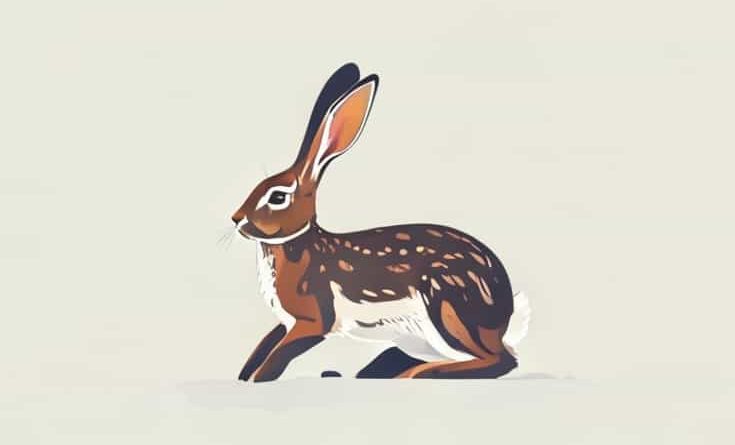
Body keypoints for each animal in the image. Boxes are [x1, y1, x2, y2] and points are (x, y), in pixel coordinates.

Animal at [231, 63, 530, 382]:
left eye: (277, 197)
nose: (236, 218)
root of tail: (506, 315)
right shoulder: (287, 323)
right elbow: (264, 345)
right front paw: (243, 375)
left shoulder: (313, 320)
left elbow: (277, 355)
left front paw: (257, 378)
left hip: (446, 307)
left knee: (500, 360)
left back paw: (414, 374)